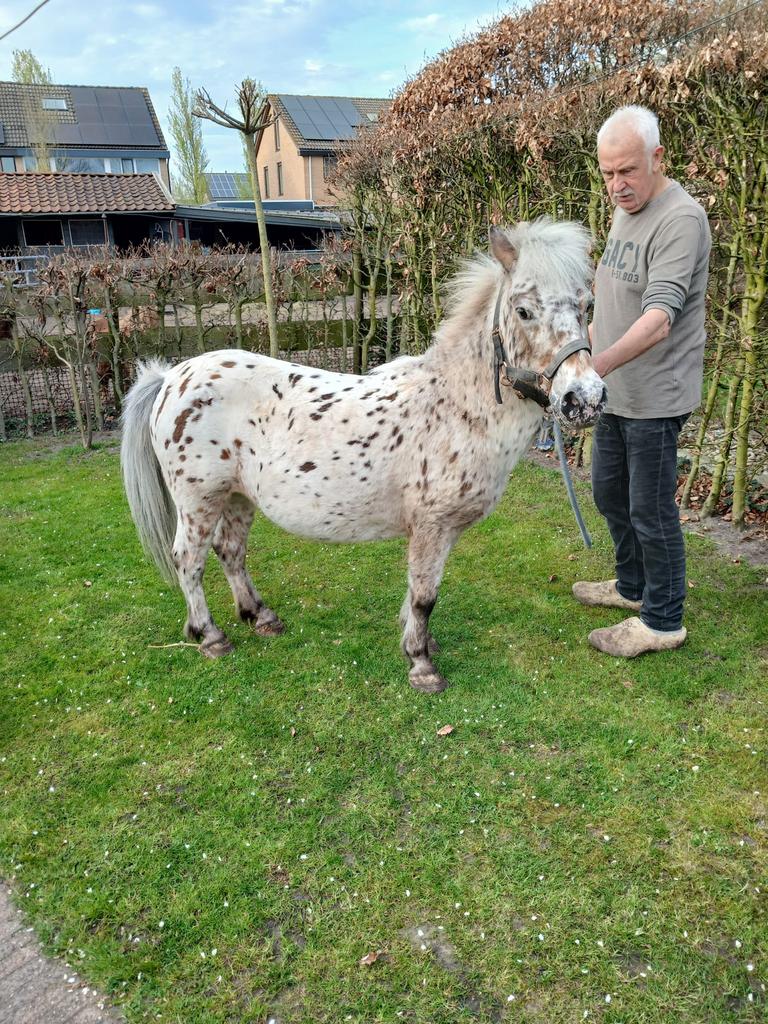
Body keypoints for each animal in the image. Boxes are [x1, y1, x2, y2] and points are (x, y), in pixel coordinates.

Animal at [121, 219, 606, 694]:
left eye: (587, 306)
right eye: (524, 311)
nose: (585, 399)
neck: (455, 407)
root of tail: (171, 378)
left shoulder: (441, 531)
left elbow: (418, 592)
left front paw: (418, 642)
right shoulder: (432, 527)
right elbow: (425, 596)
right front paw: (421, 664)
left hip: (238, 496)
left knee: (230, 551)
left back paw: (260, 617)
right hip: (199, 501)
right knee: (189, 559)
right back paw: (210, 636)